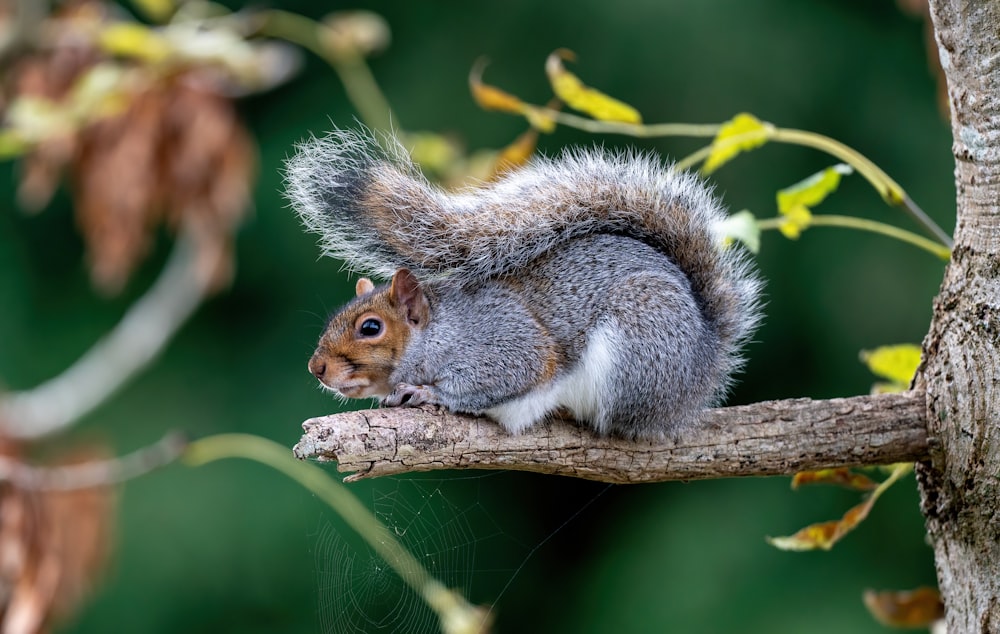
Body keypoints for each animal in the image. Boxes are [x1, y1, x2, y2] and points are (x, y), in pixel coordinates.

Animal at [286, 126, 760, 436]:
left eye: (371, 327)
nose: (315, 368)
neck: (439, 331)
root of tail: (702, 366)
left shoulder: (502, 344)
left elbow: (508, 376)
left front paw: (428, 393)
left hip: (640, 345)